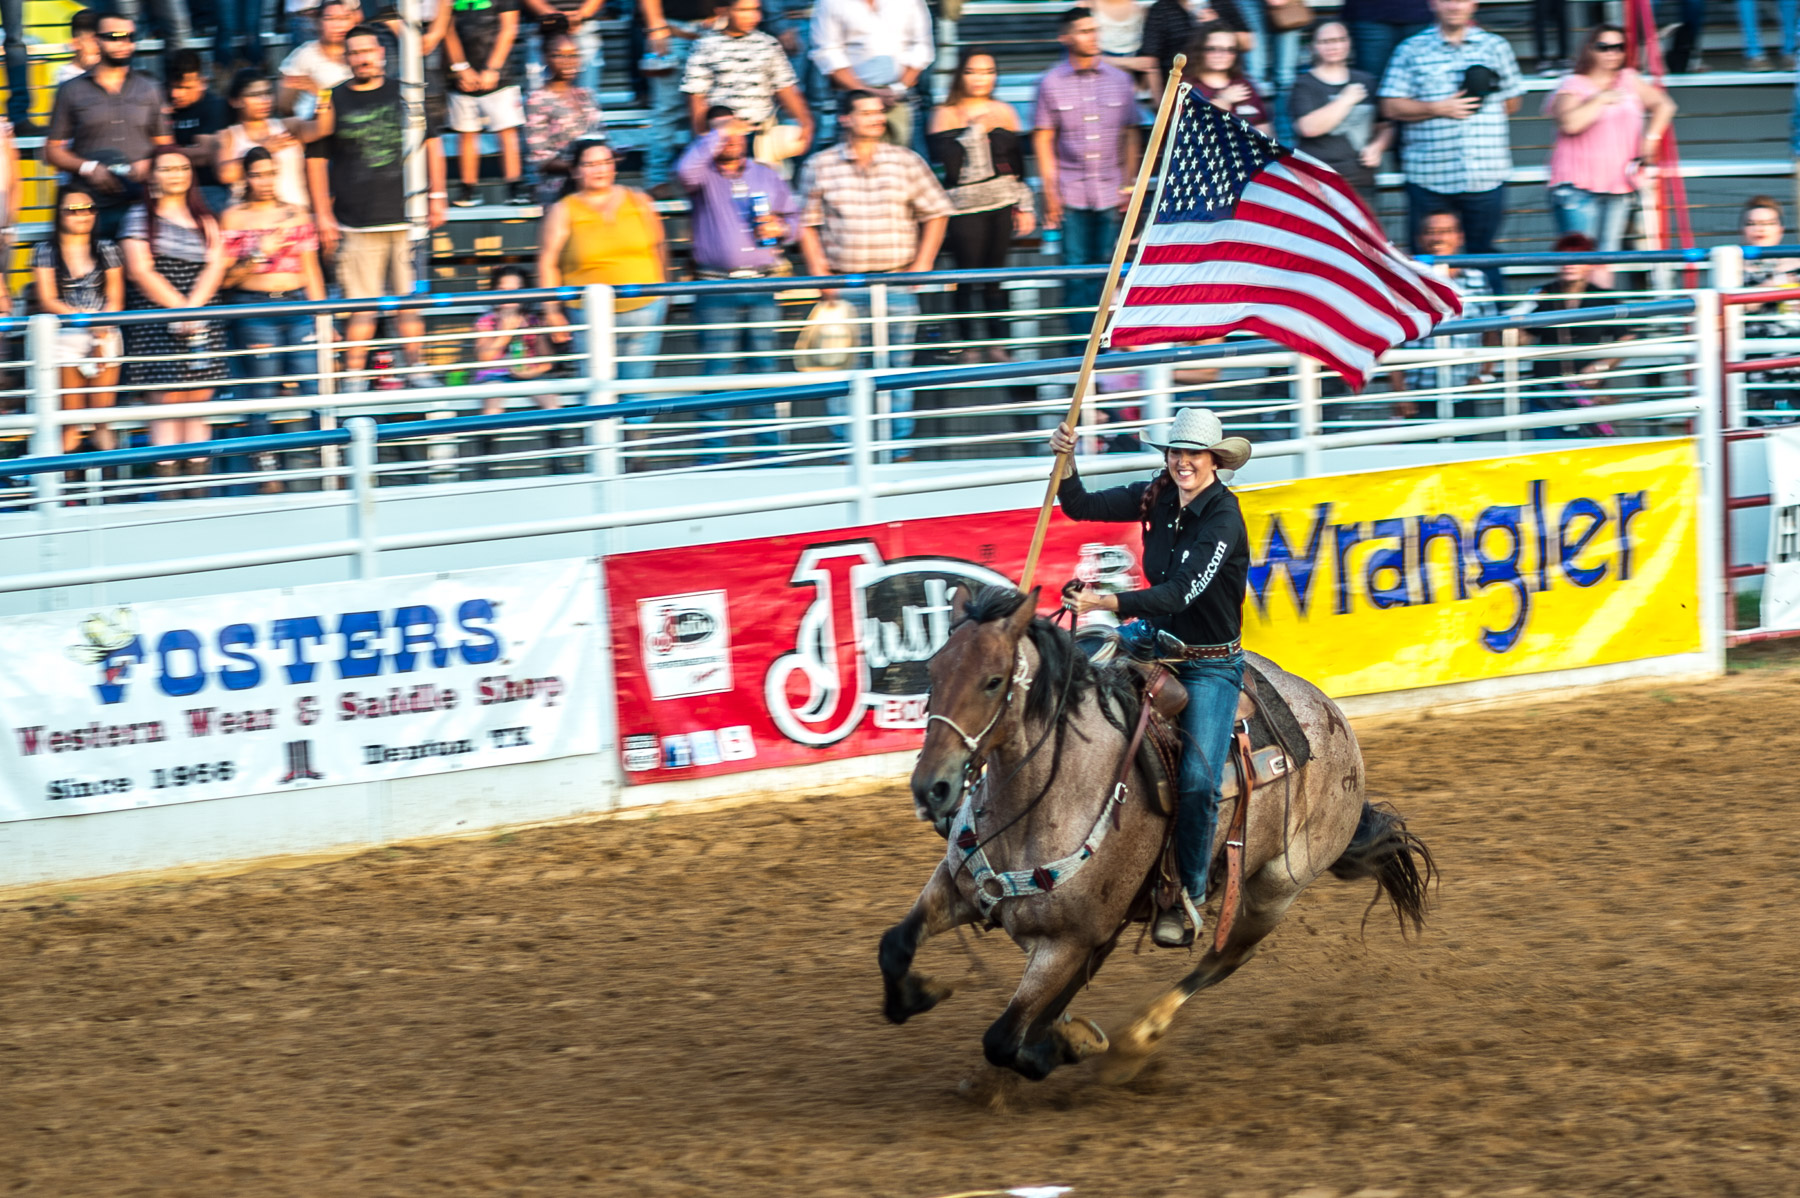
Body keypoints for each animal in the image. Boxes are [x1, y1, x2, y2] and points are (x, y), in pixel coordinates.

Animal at [882, 586, 1432, 1079]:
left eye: (994, 681)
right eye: (933, 670)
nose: (932, 788)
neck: (1050, 800)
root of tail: (1330, 711)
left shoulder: (1066, 942)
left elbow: (1003, 1039)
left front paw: (1065, 1046)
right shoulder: (960, 889)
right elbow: (895, 945)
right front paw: (919, 995)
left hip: (1276, 888)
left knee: (1225, 957)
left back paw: (1139, 1034)